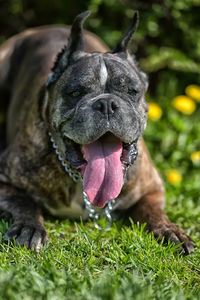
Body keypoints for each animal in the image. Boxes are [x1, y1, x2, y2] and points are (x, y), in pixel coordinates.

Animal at [0, 11, 195, 253]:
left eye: (132, 91)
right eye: (75, 92)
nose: (107, 104)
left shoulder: (151, 187)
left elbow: (153, 210)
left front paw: (169, 229)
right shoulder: (6, 180)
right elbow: (24, 203)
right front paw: (29, 227)